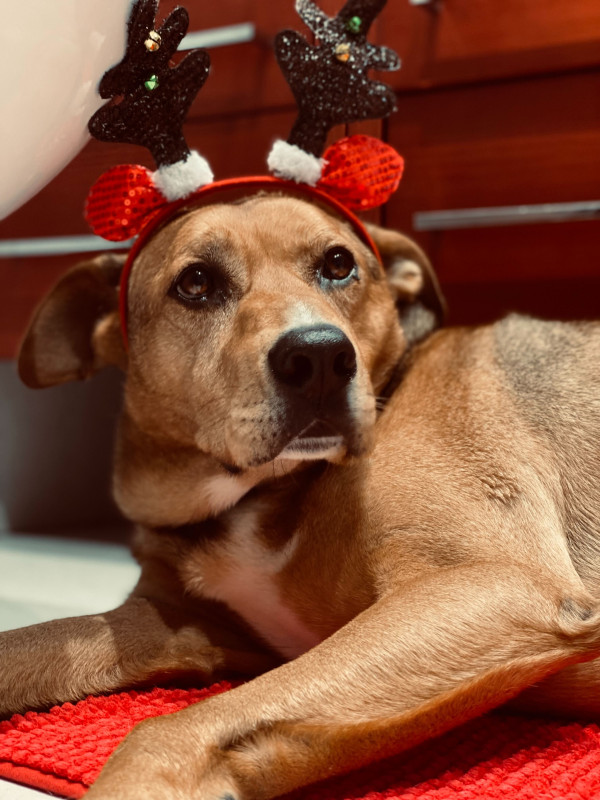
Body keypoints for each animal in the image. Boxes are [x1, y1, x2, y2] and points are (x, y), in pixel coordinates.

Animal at [3, 189, 600, 800]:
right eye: (196, 282)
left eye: (338, 264)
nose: (318, 358)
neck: (261, 492)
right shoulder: (180, 620)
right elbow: (29, 642)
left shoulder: (493, 583)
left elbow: (166, 729)